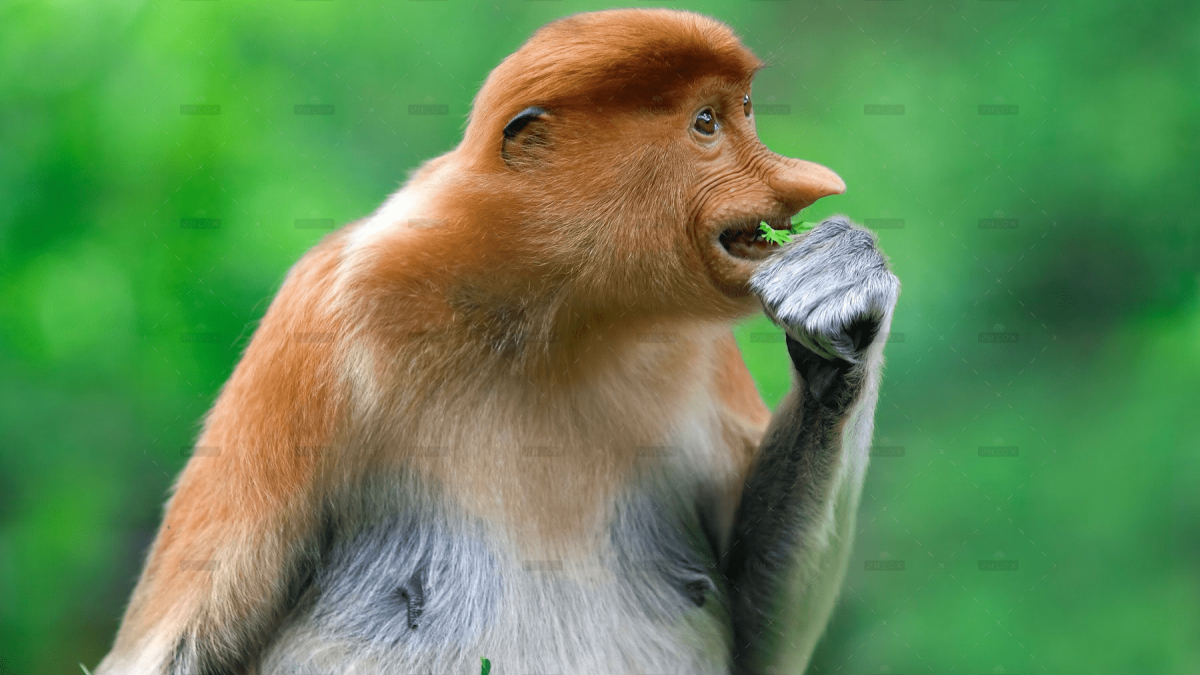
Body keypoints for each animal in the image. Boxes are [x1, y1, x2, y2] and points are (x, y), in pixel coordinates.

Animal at [96, 8, 899, 675]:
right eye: (707, 122)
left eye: (746, 110)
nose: (810, 183)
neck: (550, 314)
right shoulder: (322, 322)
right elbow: (173, 649)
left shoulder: (698, 350)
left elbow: (764, 632)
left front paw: (840, 296)